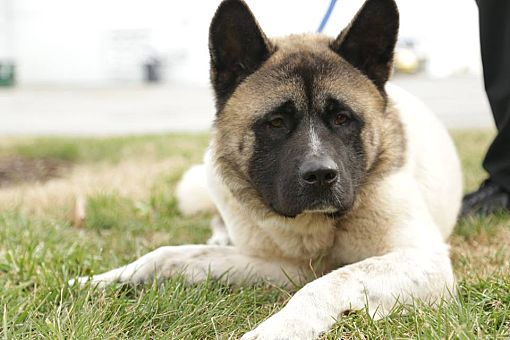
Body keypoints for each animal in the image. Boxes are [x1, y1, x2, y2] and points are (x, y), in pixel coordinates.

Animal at [69, 0, 464, 338]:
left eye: (342, 118)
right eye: (276, 122)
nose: (321, 175)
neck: (319, 228)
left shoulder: (424, 261)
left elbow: (331, 281)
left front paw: (283, 327)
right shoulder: (282, 266)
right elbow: (170, 255)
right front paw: (102, 279)